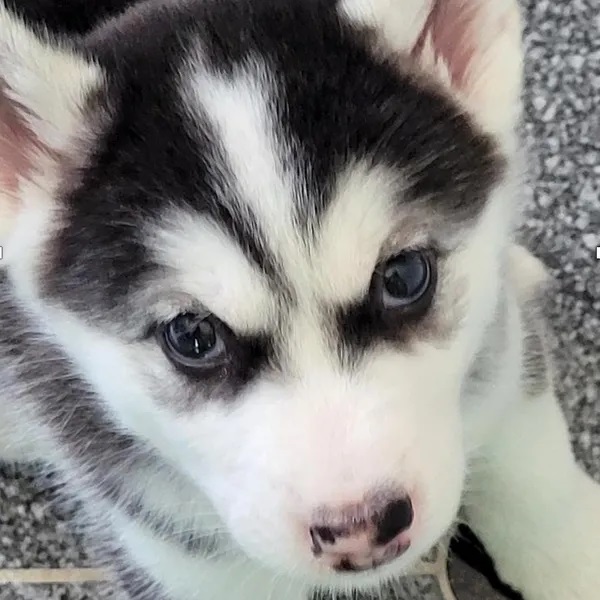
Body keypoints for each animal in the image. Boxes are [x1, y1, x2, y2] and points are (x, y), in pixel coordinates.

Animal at [1, 0, 600, 596]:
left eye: (405, 276)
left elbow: (531, 466)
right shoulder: (176, 551)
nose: (362, 528)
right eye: (192, 336)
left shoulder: (502, 355)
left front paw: (570, 556)